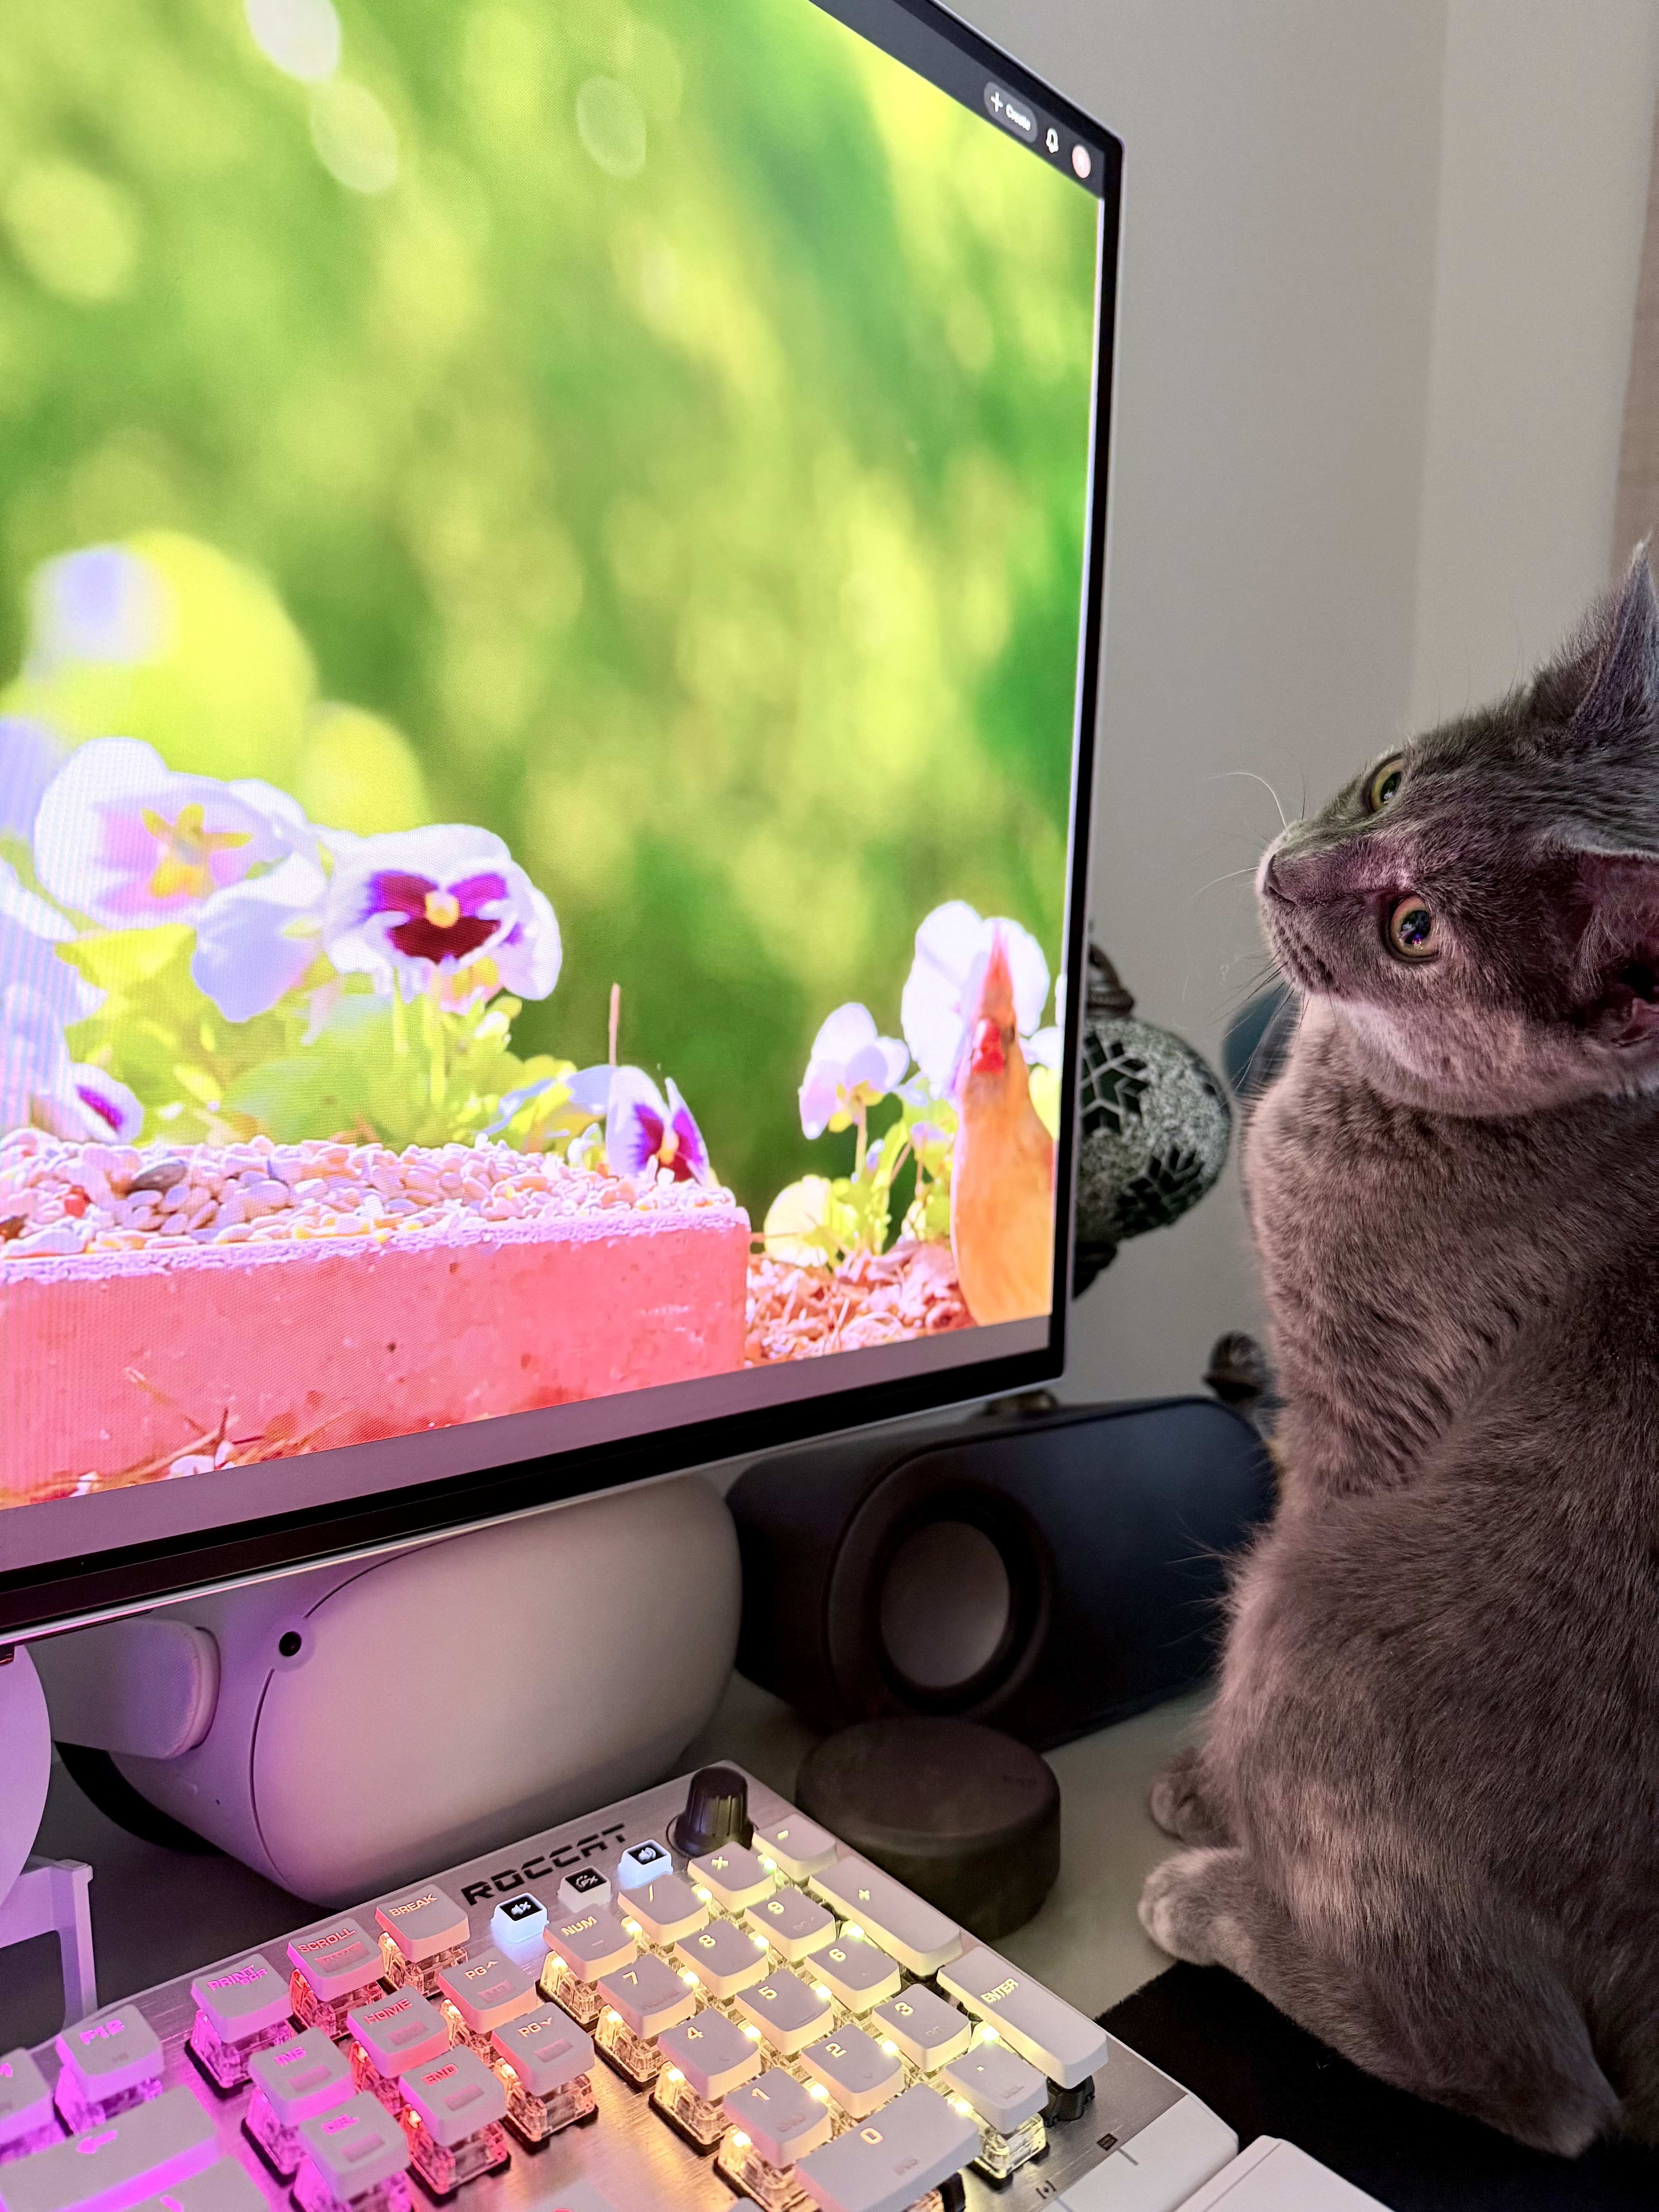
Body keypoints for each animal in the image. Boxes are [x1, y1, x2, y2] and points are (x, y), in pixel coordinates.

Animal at [1139, 545, 1659, 2157]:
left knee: (1539, 2082)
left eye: (1416, 930)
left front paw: (1205, 1789)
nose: (1280, 872)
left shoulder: (1364, 1413)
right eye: (1383, 784)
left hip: (1326, 1609)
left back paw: (1208, 1900)